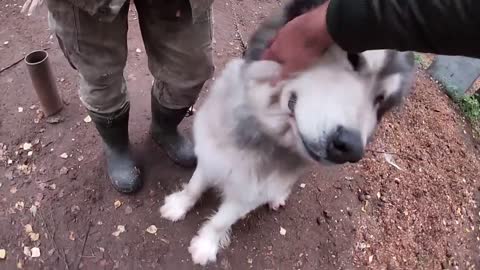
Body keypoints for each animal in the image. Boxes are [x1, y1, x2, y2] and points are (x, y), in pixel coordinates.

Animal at [159, 0, 414, 266]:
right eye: (353, 58)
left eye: (380, 100)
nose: (351, 149)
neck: (261, 134)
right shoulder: (211, 155)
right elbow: (194, 187)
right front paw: (178, 206)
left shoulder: (247, 196)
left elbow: (220, 221)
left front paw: (205, 245)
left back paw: (277, 197)